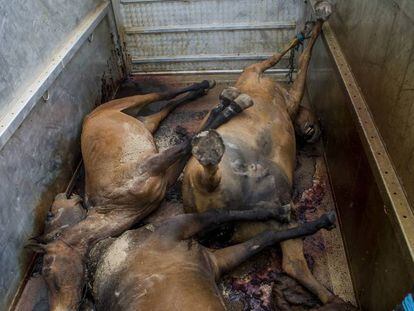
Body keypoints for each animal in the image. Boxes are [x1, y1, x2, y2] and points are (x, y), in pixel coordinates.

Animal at [30, 81, 256, 311]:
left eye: (48, 271)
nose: (60, 308)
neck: (116, 207)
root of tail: (90, 115)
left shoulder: (152, 165)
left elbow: (189, 141)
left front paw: (234, 106)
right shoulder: (165, 177)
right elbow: (191, 143)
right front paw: (227, 107)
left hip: (130, 102)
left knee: (161, 95)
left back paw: (206, 88)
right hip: (148, 123)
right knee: (165, 108)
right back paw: (202, 93)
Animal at [182, 1, 342, 308]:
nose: (314, 131)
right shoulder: (266, 76)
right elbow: (297, 56)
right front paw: (317, 21)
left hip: (268, 215)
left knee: (291, 260)